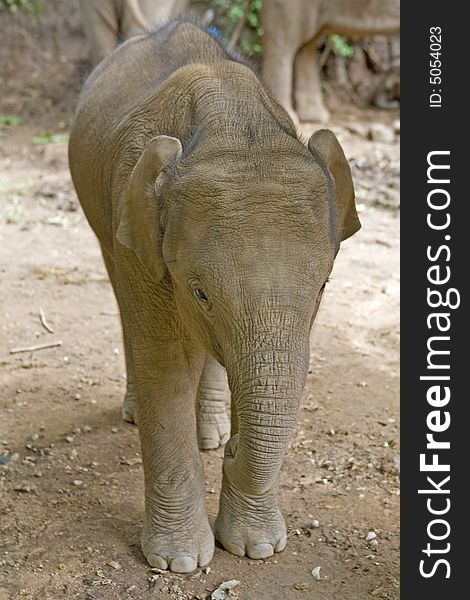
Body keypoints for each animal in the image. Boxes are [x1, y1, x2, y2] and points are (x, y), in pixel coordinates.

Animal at [69, 17, 360, 572]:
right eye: (200, 292)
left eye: (323, 286)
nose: (233, 452)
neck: (233, 127)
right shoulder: (137, 220)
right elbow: (165, 364)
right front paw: (180, 563)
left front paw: (257, 548)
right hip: (104, 218)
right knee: (123, 297)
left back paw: (212, 435)